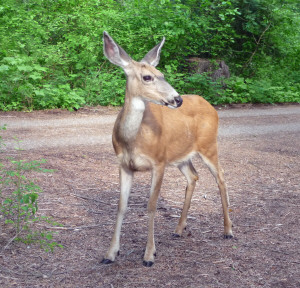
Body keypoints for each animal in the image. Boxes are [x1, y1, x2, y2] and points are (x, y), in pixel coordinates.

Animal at [101, 31, 232, 268]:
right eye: (147, 77)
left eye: (161, 73)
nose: (177, 99)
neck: (132, 140)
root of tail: (210, 105)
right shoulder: (124, 165)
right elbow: (121, 206)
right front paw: (110, 253)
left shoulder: (159, 161)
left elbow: (151, 206)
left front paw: (149, 255)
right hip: (181, 156)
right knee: (193, 176)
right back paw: (179, 229)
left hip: (209, 145)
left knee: (221, 177)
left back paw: (228, 230)